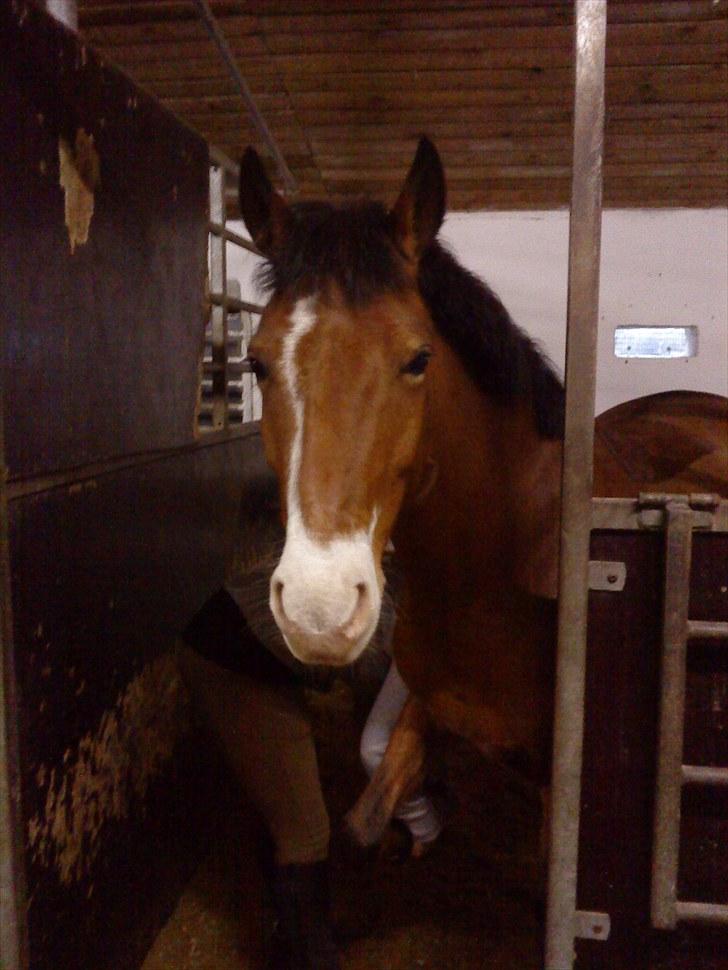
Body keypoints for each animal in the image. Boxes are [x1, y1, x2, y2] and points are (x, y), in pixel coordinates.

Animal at [237, 136, 728, 849]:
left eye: (418, 359)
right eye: (257, 362)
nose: (318, 610)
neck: (489, 575)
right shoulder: (425, 706)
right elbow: (366, 812)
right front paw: (423, 820)